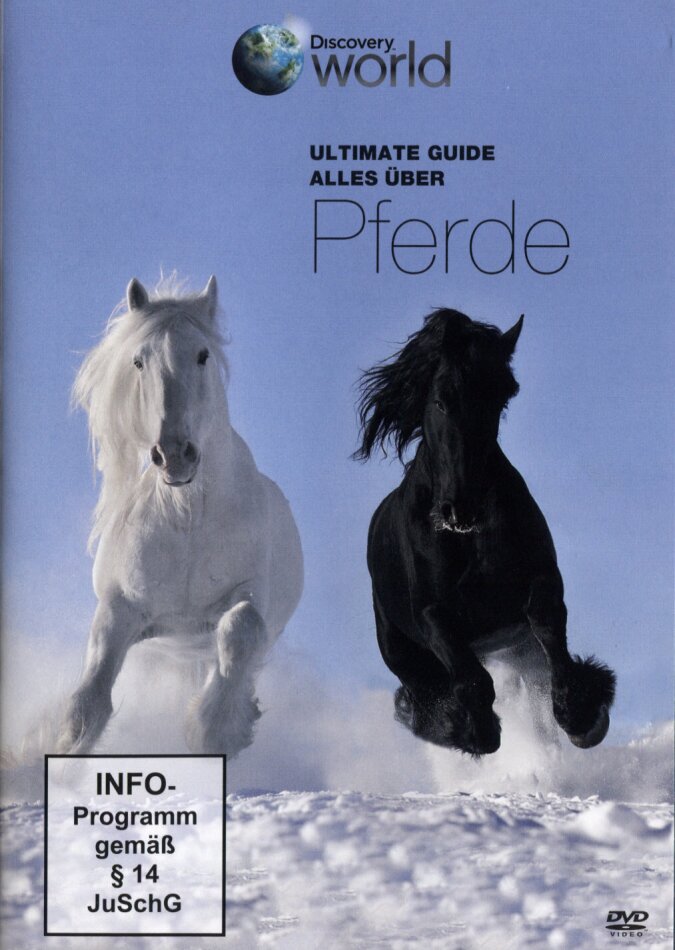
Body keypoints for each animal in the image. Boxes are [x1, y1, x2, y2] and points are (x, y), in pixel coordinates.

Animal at [56, 275, 303, 757]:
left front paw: (214, 729)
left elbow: (240, 629)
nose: (174, 454)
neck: (187, 520)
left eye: (202, 354)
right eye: (138, 360)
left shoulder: (249, 596)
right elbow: (86, 707)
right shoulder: (120, 610)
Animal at [354, 309, 616, 756]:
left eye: (500, 399)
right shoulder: (432, 614)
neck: (467, 539)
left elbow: (549, 629)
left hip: (517, 649)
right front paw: (475, 730)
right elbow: (472, 680)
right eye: (440, 400)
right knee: (425, 696)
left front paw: (582, 715)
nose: (462, 508)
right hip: (403, 653)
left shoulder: (541, 580)